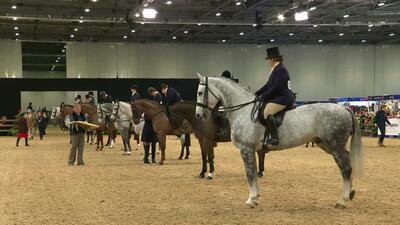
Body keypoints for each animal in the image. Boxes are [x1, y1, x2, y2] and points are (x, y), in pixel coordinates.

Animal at [195, 74, 364, 208]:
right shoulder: (251, 150)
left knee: (346, 169)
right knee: (348, 162)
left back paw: (342, 201)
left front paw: (251, 200)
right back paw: (350, 193)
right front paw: (256, 198)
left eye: (200, 92)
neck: (243, 111)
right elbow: (254, 173)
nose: (198, 115)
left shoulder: (246, 149)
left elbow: (249, 174)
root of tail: (344, 108)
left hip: (334, 147)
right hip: (328, 145)